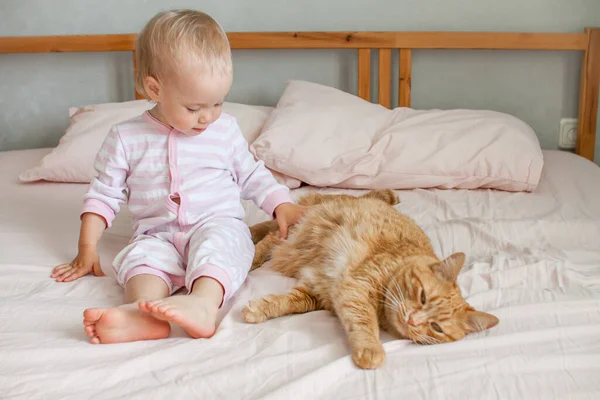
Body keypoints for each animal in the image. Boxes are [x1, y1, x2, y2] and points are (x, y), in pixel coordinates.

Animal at [241, 190, 500, 368]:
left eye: (436, 328)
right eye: (423, 297)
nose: (412, 321)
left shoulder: (317, 293)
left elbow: (289, 302)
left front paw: (260, 308)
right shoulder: (356, 286)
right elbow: (364, 321)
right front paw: (371, 348)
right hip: (294, 230)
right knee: (269, 236)